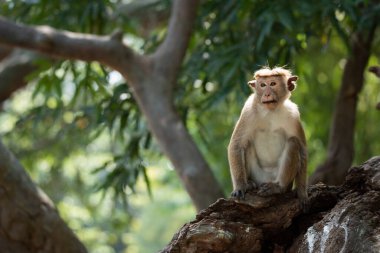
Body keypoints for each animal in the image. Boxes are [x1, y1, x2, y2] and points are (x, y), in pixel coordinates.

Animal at [227, 66, 308, 209]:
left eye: (273, 83)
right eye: (263, 85)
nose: (267, 94)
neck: (270, 110)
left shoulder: (293, 114)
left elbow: (302, 149)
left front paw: (302, 192)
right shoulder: (248, 111)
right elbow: (237, 144)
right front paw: (240, 187)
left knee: (293, 143)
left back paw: (278, 187)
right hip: (258, 175)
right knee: (246, 144)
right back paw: (250, 184)